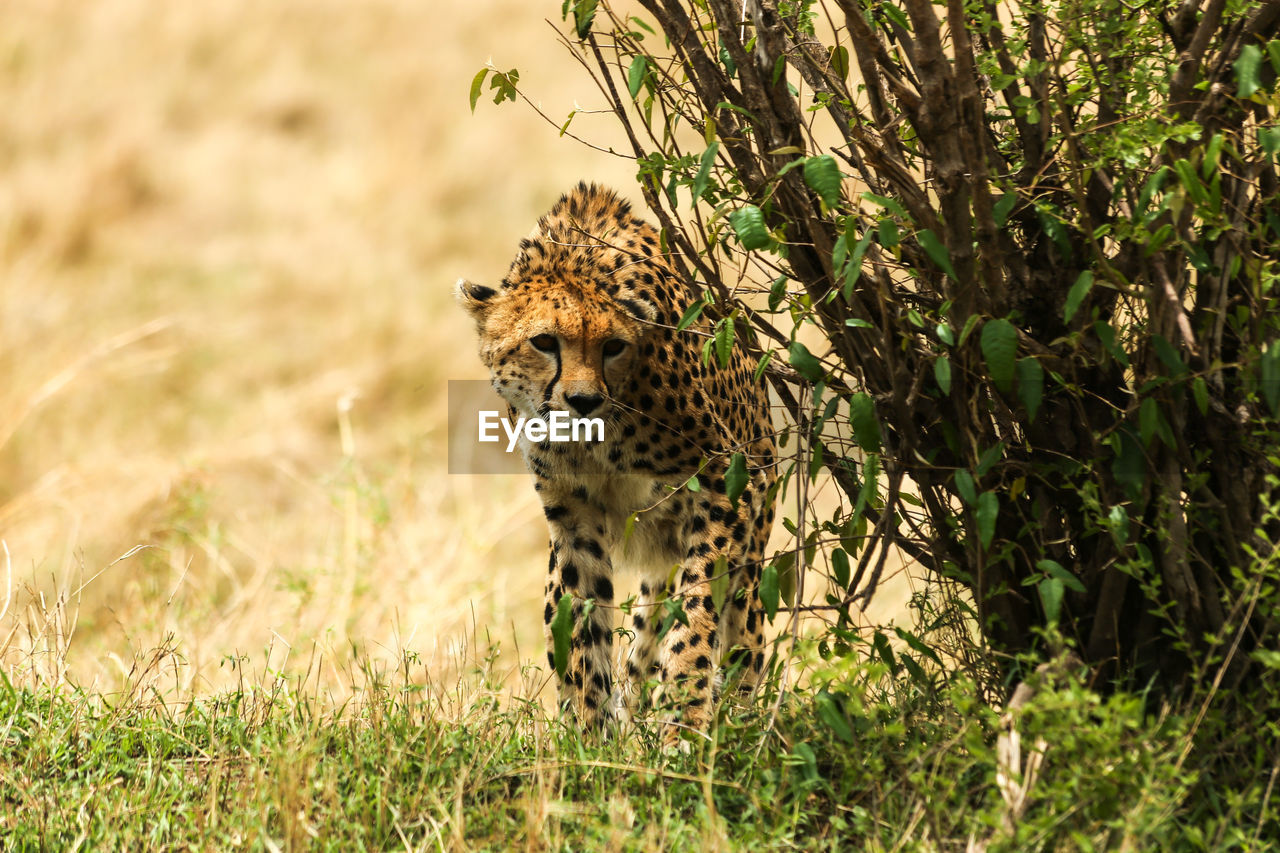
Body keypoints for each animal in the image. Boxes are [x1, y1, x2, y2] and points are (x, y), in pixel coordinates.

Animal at [460, 183, 778, 732]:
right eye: (543, 341)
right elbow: (585, 635)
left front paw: (683, 720)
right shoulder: (572, 515)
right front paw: (593, 737)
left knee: (746, 640)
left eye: (612, 346)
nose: (582, 400)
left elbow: (697, 613)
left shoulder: (727, 486)